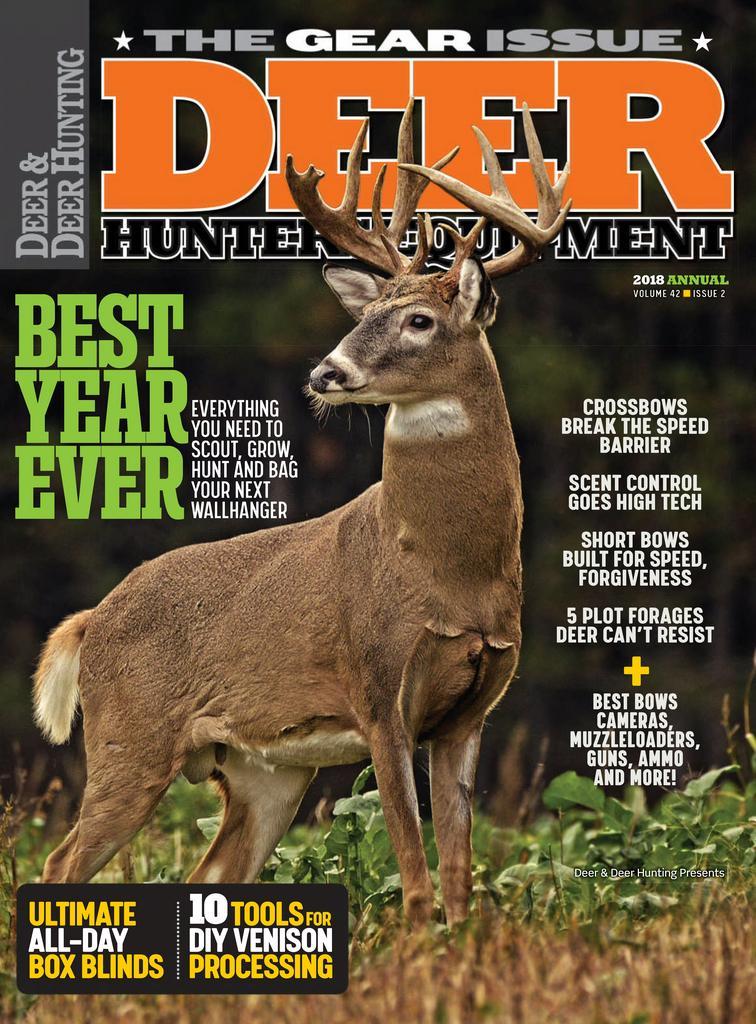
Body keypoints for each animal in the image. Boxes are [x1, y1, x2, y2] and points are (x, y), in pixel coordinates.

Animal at [33, 99, 569, 926]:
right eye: (368, 311)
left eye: (419, 320)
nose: (326, 372)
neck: (447, 569)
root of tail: (91, 620)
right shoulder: (377, 687)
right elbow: (415, 875)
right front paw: (417, 946)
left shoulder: (471, 710)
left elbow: (459, 879)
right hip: (130, 736)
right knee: (60, 864)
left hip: (263, 771)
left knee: (212, 871)